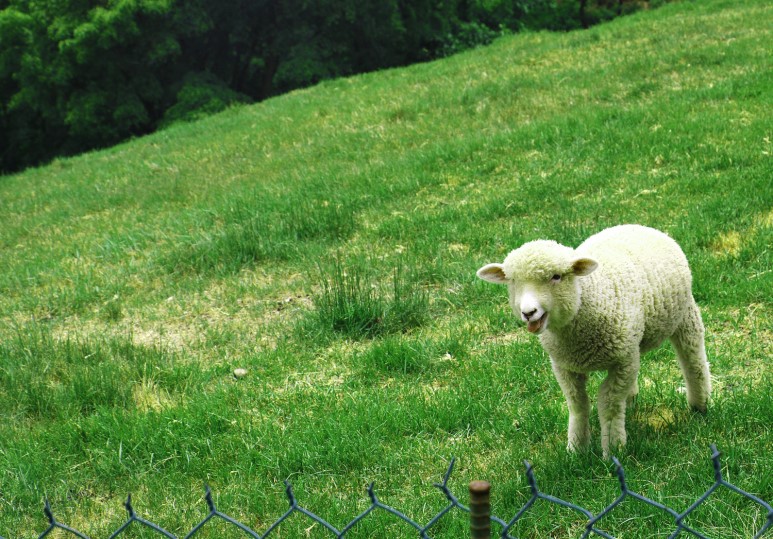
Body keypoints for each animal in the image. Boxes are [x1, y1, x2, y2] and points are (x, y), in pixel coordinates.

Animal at [476, 226, 712, 458]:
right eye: (513, 281)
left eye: (556, 277)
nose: (528, 312)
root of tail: (637, 226)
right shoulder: (565, 366)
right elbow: (577, 404)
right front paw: (576, 449)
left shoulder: (622, 361)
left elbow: (609, 404)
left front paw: (613, 450)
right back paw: (632, 400)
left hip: (685, 315)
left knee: (693, 357)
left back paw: (699, 404)